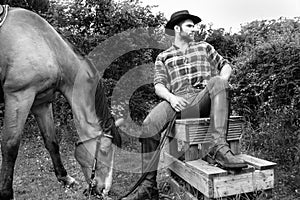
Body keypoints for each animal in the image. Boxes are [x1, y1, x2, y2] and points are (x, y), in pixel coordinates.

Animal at [0, 6, 122, 200]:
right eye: (104, 150)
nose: (104, 190)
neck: (46, 46)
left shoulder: (41, 103)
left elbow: (51, 141)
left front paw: (65, 178)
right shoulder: (19, 97)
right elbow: (10, 146)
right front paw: (6, 192)